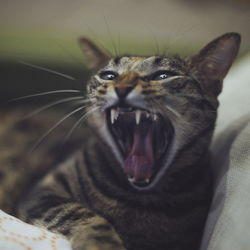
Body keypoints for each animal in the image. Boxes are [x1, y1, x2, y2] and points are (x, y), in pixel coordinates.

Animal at [0, 33, 242, 250]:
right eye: (109, 76)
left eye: (163, 75)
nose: (122, 87)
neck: (139, 200)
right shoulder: (42, 193)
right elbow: (84, 215)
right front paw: (102, 244)